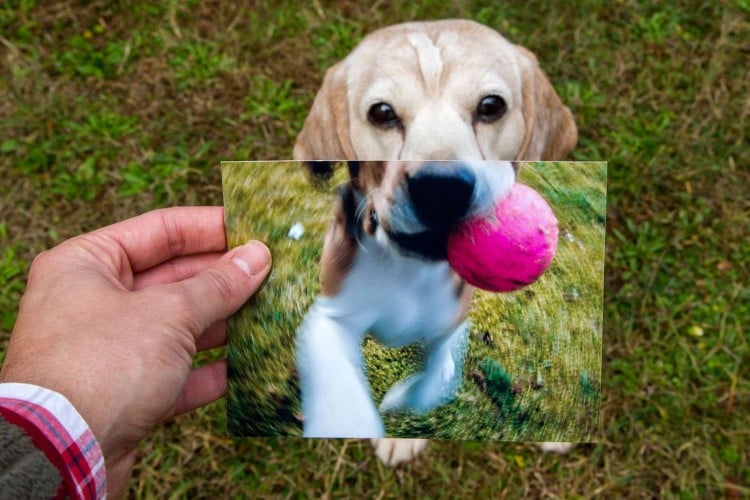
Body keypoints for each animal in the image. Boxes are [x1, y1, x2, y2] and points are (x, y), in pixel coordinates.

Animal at [290, 18, 580, 464]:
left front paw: (402, 403)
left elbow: (436, 376)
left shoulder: (453, 321)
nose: (441, 188)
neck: (408, 272)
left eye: (491, 106)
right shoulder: (327, 317)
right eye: (382, 113)